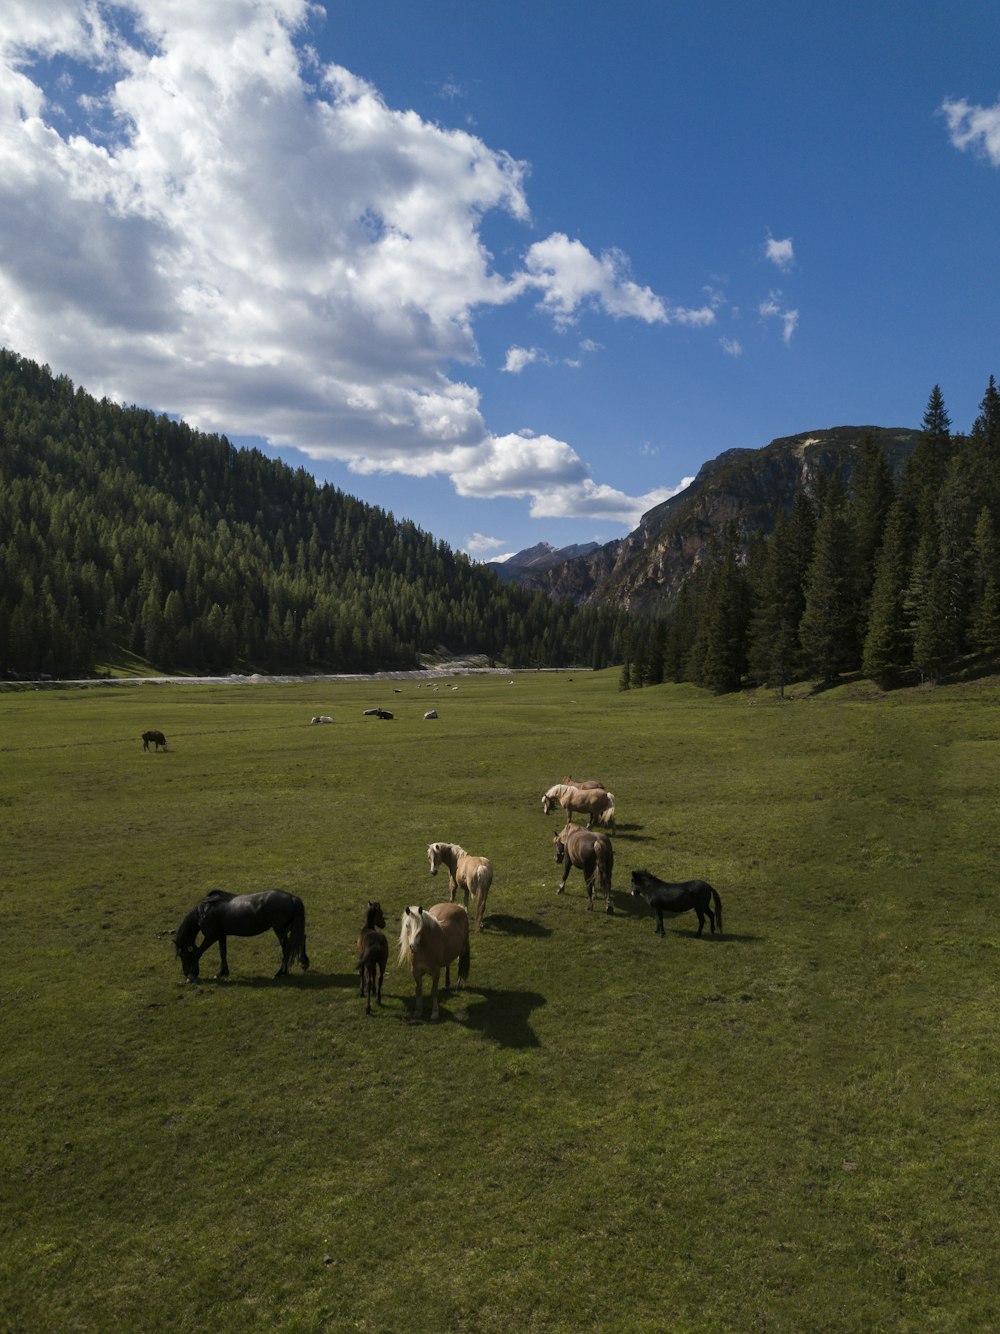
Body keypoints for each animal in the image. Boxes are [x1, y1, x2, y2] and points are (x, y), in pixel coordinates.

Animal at [173, 885, 309, 981]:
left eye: (182, 954)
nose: (185, 973)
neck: (204, 911)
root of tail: (292, 898)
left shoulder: (211, 937)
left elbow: (199, 952)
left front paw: (192, 975)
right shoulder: (221, 935)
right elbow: (222, 952)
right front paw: (222, 973)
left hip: (280, 929)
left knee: (286, 948)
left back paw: (281, 972)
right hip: (290, 928)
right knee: (301, 939)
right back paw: (303, 964)